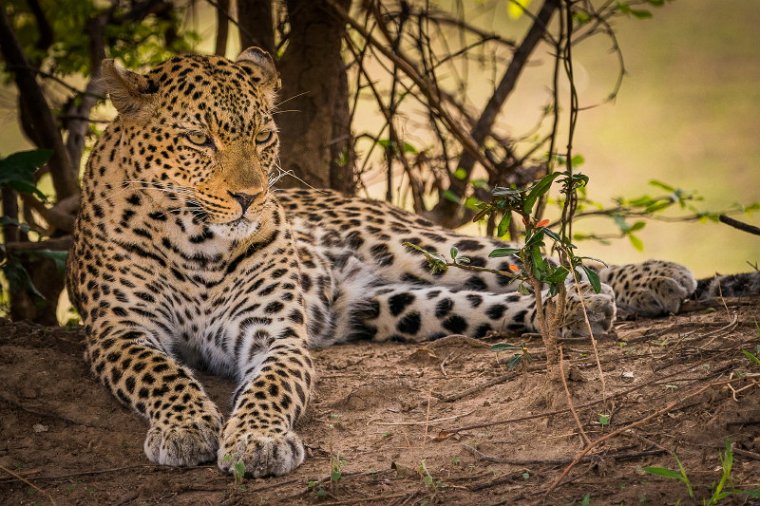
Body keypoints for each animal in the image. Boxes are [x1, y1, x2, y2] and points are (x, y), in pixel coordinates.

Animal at [68, 47, 696, 478]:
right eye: (200, 139)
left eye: (264, 136)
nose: (251, 198)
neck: (199, 242)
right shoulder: (118, 333)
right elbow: (162, 372)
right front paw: (188, 427)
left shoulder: (273, 335)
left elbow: (270, 386)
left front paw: (257, 441)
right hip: (391, 306)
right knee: (488, 301)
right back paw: (580, 312)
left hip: (417, 245)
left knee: (534, 261)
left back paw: (651, 280)